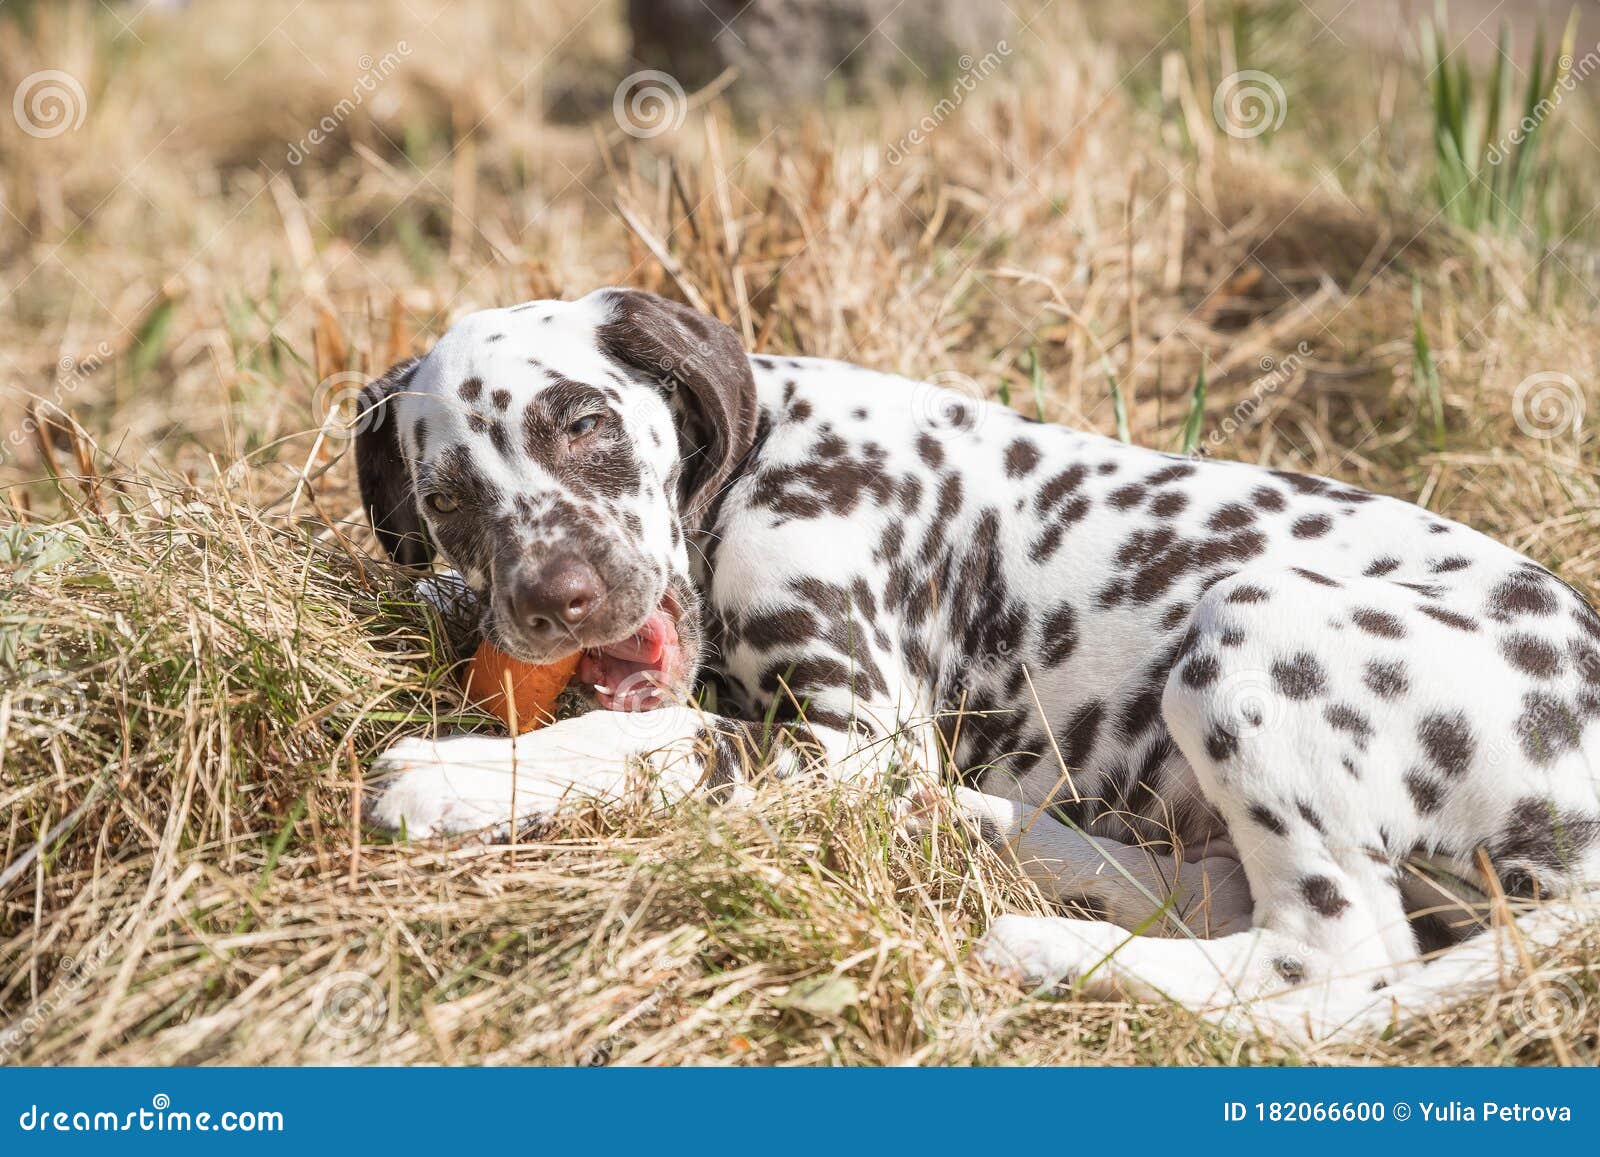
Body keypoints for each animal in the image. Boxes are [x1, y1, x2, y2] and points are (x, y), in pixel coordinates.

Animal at [363, 289, 1600, 1043]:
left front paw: (454, 775)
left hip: (1250, 625)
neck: (764, 454)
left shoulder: (861, 730)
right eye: (447, 498)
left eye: (581, 422)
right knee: (1223, 889)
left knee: (1334, 954)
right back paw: (990, 834)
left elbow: (666, 736)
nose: (552, 600)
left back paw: (1049, 948)